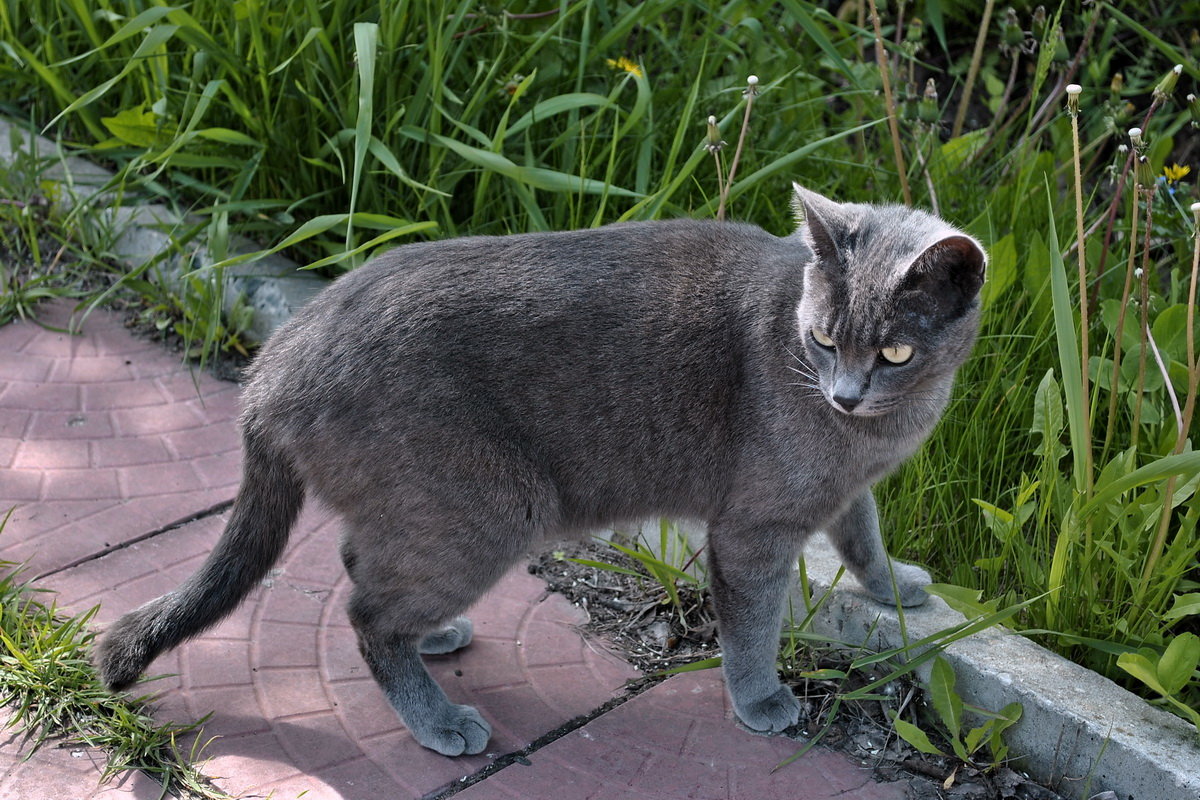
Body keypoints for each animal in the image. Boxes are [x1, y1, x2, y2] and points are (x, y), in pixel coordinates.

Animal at [98, 185, 984, 758]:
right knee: (365, 613)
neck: (882, 428)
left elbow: (864, 536)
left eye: (894, 351)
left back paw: (436, 636)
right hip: (489, 507)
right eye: (825, 338)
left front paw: (898, 586)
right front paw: (761, 699)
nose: (843, 394)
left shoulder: (848, 489)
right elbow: (755, 624)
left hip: (419, 508)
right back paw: (439, 720)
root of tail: (271, 368)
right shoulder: (755, 529)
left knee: (359, 562)